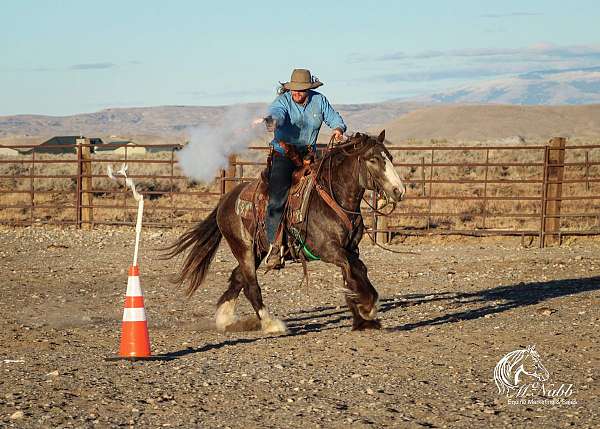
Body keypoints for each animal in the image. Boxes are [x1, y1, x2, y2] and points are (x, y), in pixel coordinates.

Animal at [164, 132, 406, 332]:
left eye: (390, 157)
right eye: (373, 159)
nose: (399, 191)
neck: (332, 198)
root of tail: (226, 199)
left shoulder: (351, 248)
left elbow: (355, 272)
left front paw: (363, 317)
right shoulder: (328, 249)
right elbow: (354, 268)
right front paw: (368, 305)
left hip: (259, 250)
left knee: (238, 278)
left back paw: (225, 319)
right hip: (243, 248)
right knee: (251, 285)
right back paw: (271, 324)